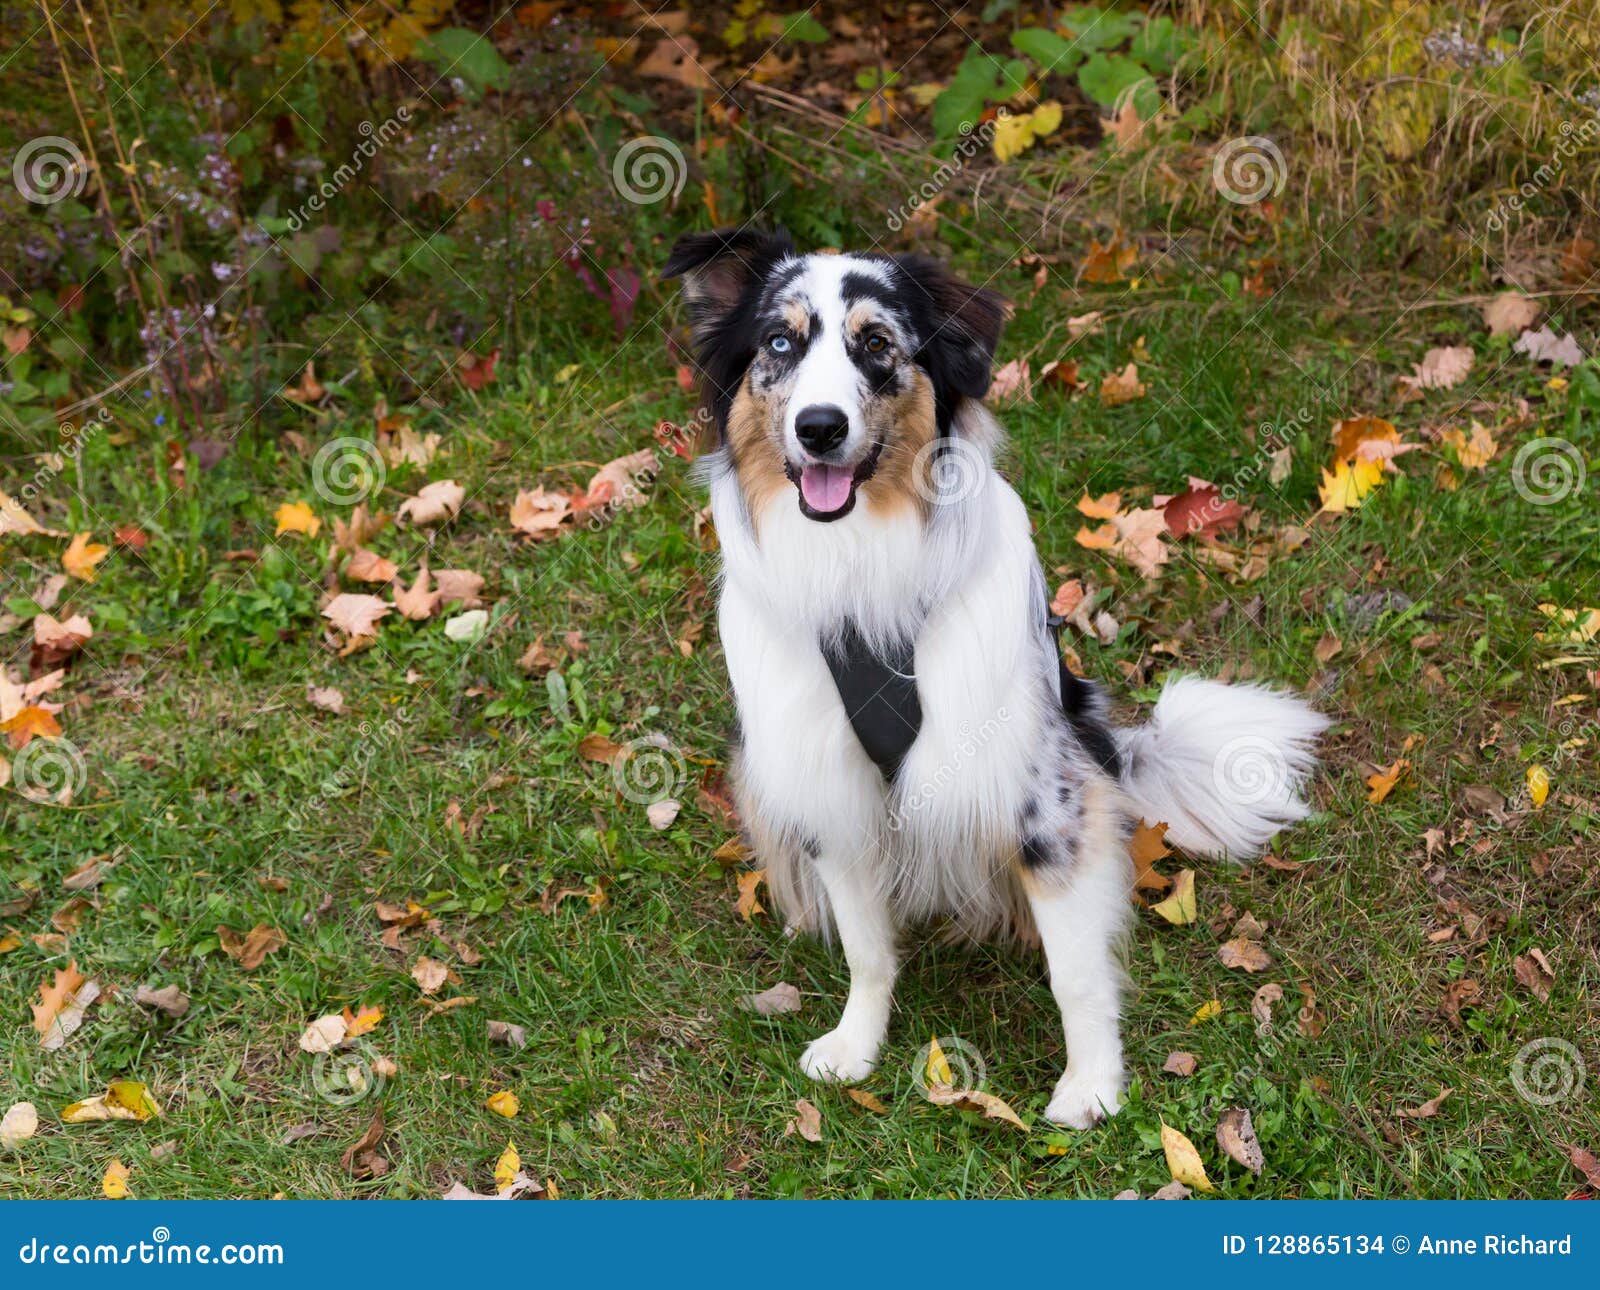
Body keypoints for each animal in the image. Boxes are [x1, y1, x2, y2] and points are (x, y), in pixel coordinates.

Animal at [662, 232, 1324, 1133]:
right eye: (778, 343)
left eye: (877, 343)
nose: (819, 428)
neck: (863, 564)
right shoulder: (833, 790)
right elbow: (868, 949)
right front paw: (856, 1044)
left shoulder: (1043, 797)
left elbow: (1075, 969)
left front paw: (1092, 1086)